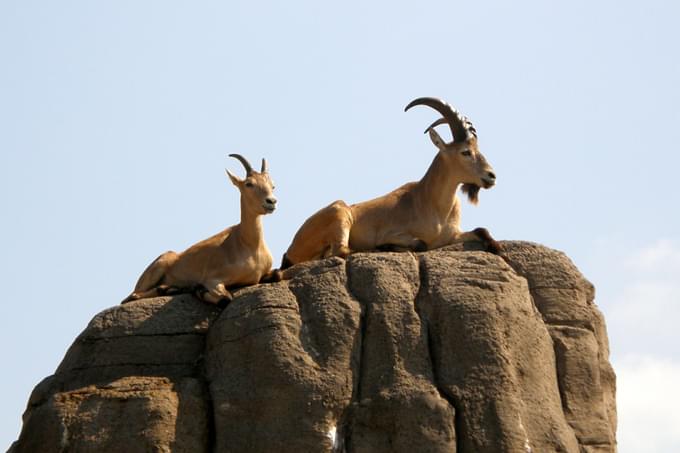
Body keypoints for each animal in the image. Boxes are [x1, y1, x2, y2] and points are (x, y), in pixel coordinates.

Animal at [123, 154, 278, 306]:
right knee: (131, 296)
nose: (271, 201)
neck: (250, 244)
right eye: (249, 184)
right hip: (157, 268)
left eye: (272, 185)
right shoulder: (212, 279)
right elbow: (225, 298)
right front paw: (199, 290)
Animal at [280, 96, 500, 268]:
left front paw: (495, 246)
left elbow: (482, 230)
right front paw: (387, 246)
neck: (433, 205)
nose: (491, 176)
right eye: (465, 152)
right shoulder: (393, 232)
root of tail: (290, 250)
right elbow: (420, 244)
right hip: (339, 213)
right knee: (341, 250)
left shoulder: (452, 236)